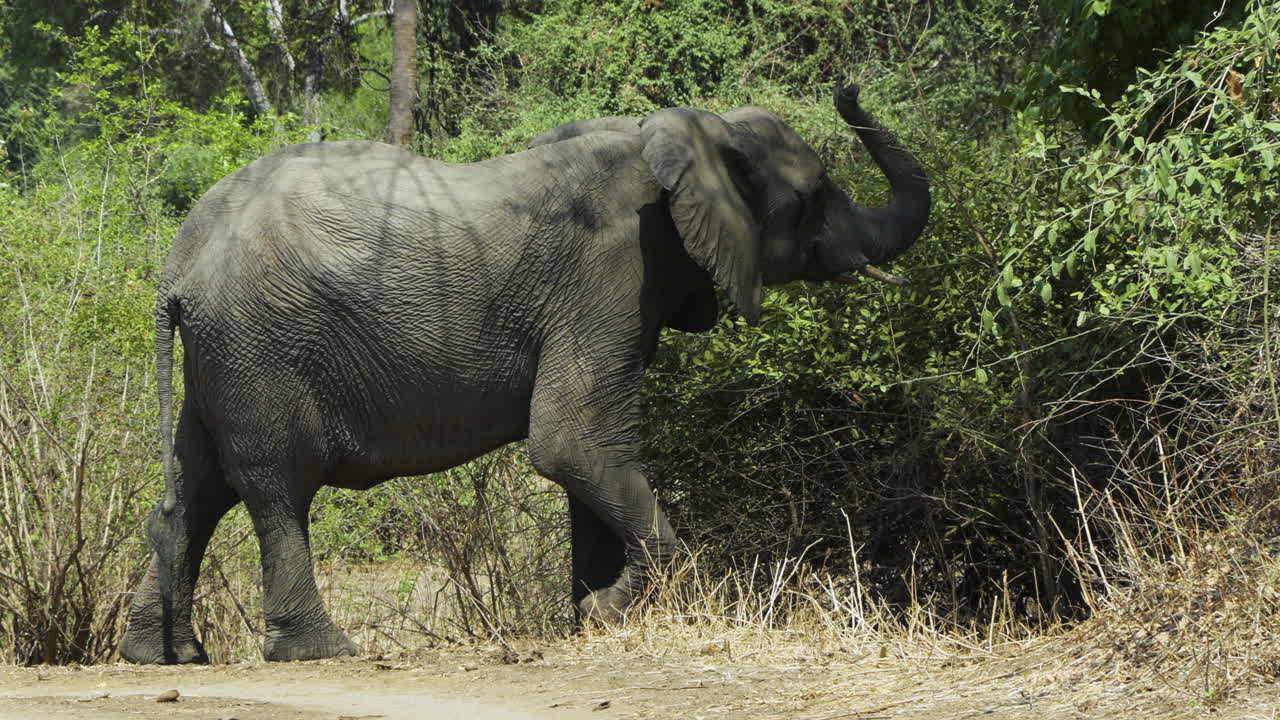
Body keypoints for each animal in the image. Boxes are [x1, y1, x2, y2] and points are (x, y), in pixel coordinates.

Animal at [118, 85, 930, 664]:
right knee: (275, 489)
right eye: (815, 196)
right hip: (261, 346)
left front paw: (591, 616)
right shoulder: (609, 275)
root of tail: (177, 270)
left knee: (196, 490)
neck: (690, 133)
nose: (848, 88)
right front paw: (607, 612)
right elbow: (571, 444)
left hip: (221, 355)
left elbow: (589, 461)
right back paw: (320, 651)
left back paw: (166, 655)